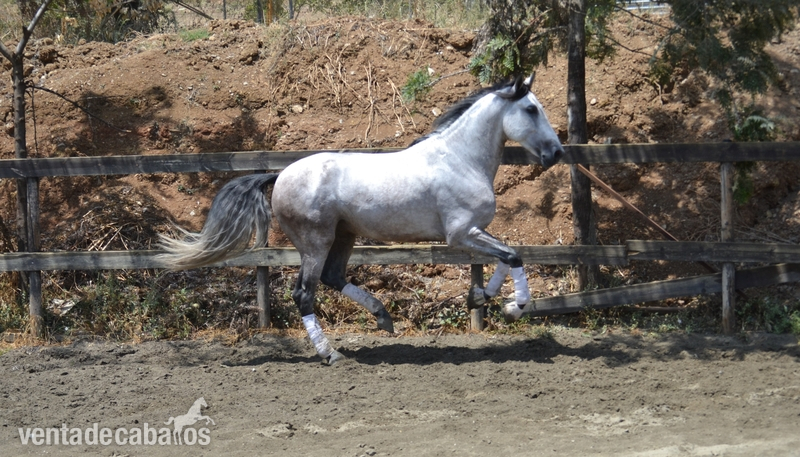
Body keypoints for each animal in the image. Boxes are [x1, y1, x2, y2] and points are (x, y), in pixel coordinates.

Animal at [158, 74, 564, 365]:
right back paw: (331, 354)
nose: (557, 153)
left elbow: (505, 257)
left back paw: (383, 317)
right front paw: (513, 307)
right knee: (305, 293)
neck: (460, 160)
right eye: (531, 110)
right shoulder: (461, 233)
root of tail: (280, 176)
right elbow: (513, 255)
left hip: (344, 237)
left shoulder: (474, 232)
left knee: (333, 278)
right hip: (316, 242)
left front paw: (480, 298)